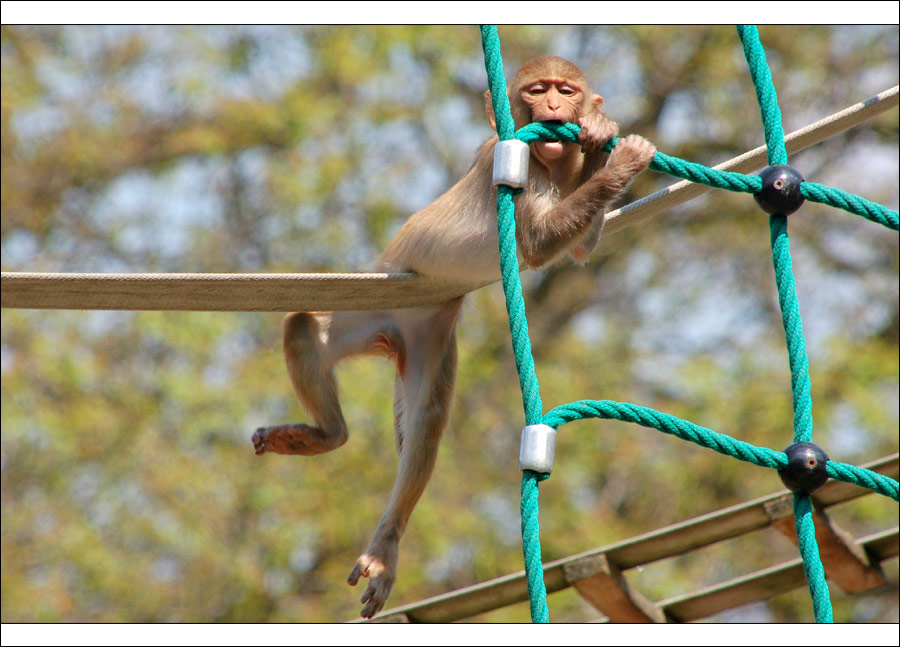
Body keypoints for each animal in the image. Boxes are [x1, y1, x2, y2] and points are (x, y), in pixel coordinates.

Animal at [250, 55, 656, 616]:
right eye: (537, 91)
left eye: (566, 90)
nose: (554, 105)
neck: (552, 166)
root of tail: (392, 337)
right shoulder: (507, 161)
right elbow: (537, 243)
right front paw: (620, 161)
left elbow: (578, 249)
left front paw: (599, 133)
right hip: (376, 308)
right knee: (305, 326)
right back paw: (328, 435)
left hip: (430, 335)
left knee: (426, 419)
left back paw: (385, 543)